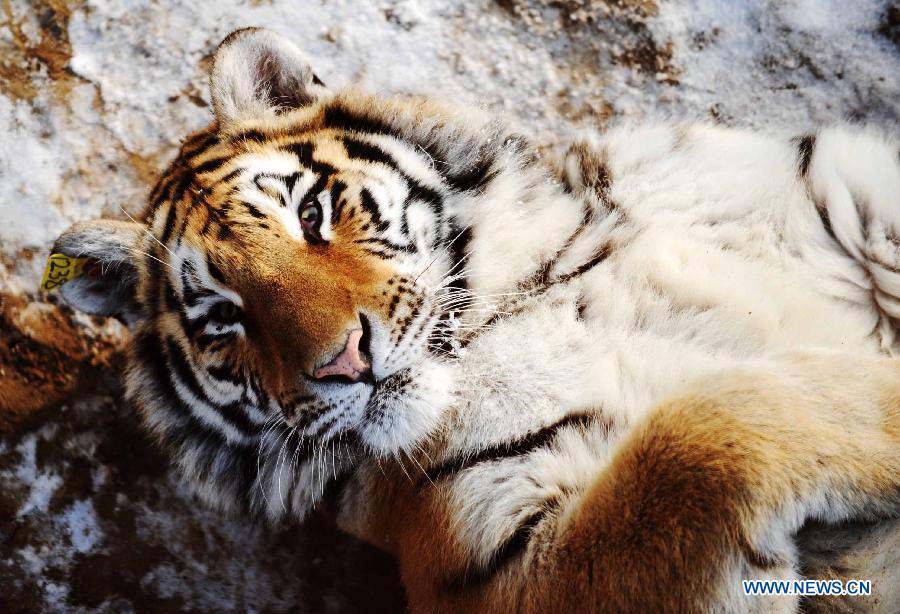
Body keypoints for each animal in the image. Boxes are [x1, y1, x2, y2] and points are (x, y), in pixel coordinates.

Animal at [51, 26, 900, 612]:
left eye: (311, 213)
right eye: (223, 319)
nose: (345, 361)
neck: (535, 283)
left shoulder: (844, 193)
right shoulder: (501, 562)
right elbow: (702, 436)